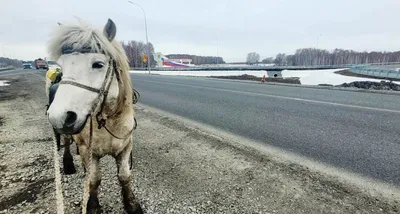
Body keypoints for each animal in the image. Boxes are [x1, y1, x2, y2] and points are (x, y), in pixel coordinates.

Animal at [46, 18, 143, 214]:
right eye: (62, 66)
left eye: (98, 64)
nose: (58, 116)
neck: (107, 121)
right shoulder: (88, 150)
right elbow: (94, 179)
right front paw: (92, 205)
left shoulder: (125, 146)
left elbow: (124, 176)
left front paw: (132, 204)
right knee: (66, 142)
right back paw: (69, 164)